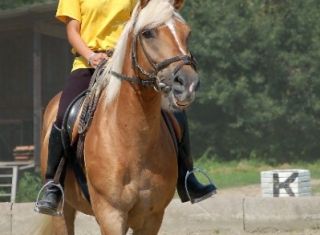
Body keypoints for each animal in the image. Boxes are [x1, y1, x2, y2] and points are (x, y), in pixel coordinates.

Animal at [37, 0, 199, 234]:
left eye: (186, 33)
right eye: (148, 33)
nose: (187, 84)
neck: (130, 137)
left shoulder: (152, 217)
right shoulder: (111, 215)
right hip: (63, 210)